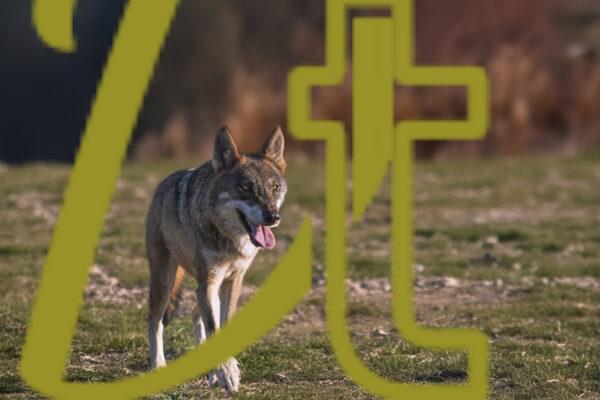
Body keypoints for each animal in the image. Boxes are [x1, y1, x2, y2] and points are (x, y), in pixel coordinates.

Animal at [144, 127, 288, 394]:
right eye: (245, 187)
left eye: (274, 187)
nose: (273, 217)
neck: (230, 240)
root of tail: (163, 183)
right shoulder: (208, 281)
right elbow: (213, 326)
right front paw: (226, 372)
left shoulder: (233, 280)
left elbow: (222, 326)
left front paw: (223, 372)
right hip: (164, 282)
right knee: (155, 321)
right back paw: (158, 366)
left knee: (195, 314)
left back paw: (211, 373)